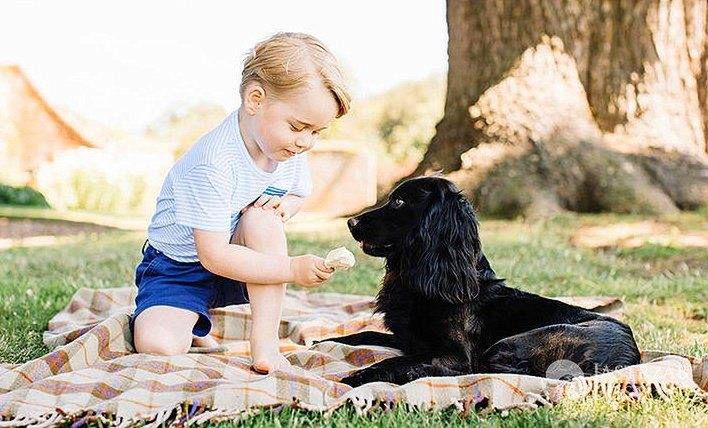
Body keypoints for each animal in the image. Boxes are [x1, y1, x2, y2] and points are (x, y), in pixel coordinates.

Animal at [326, 176, 640, 386]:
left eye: (399, 201)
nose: (351, 222)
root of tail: (628, 358)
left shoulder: (453, 354)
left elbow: (398, 360)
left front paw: (354, 378)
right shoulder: (408, 340)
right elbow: (360, 335)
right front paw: (322, 342)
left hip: (512, 344)